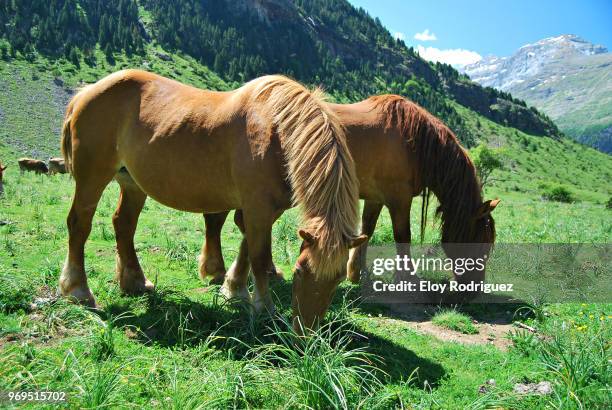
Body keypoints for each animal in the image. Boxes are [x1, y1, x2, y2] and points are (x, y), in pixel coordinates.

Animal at [59, 68, 366, 330]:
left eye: (338, 278)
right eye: (300, 271)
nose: (305, 332)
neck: (275, 130)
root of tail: (86, 92)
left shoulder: (263, 209)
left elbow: (247, 247)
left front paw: (235, 290)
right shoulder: (258, 207)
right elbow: (258, 254)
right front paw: (263, 308)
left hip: (132, 183)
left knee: (123, 224)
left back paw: (134, 281)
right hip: (92, 178)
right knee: (79, 224)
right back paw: (78, 290)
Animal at [200, 95, 498, 290]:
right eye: (481, 243)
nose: (473, 290)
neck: (414, 141)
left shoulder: (376, 197)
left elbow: (367, 230)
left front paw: (357, 272)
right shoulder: (398, 199)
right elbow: (403, 236)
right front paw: (408, 280)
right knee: (227, 221)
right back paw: (224, 271)